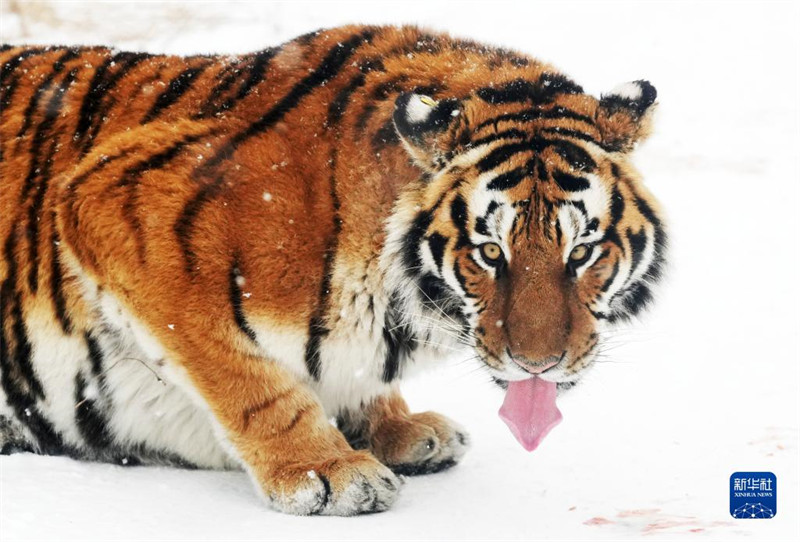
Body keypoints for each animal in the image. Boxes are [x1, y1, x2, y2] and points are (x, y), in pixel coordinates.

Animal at [0, 25, 666, 515]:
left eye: (581, 252)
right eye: (489, 253)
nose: (538, 365)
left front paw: (398, 429)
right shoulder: (113, 202)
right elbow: (247, 376)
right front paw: (324, 469)